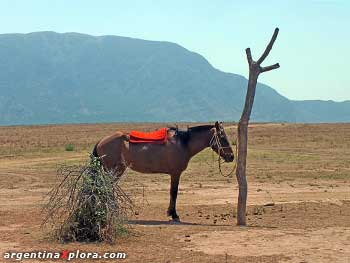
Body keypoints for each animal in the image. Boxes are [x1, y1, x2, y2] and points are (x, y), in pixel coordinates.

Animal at [91, 121, 234, 223]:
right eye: (222, 137)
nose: (231, 157)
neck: (183, 143)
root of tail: (101, 141)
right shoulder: (175, 173)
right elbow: (174, 192)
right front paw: (174, 215)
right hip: (114, 170)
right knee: (107, 187)